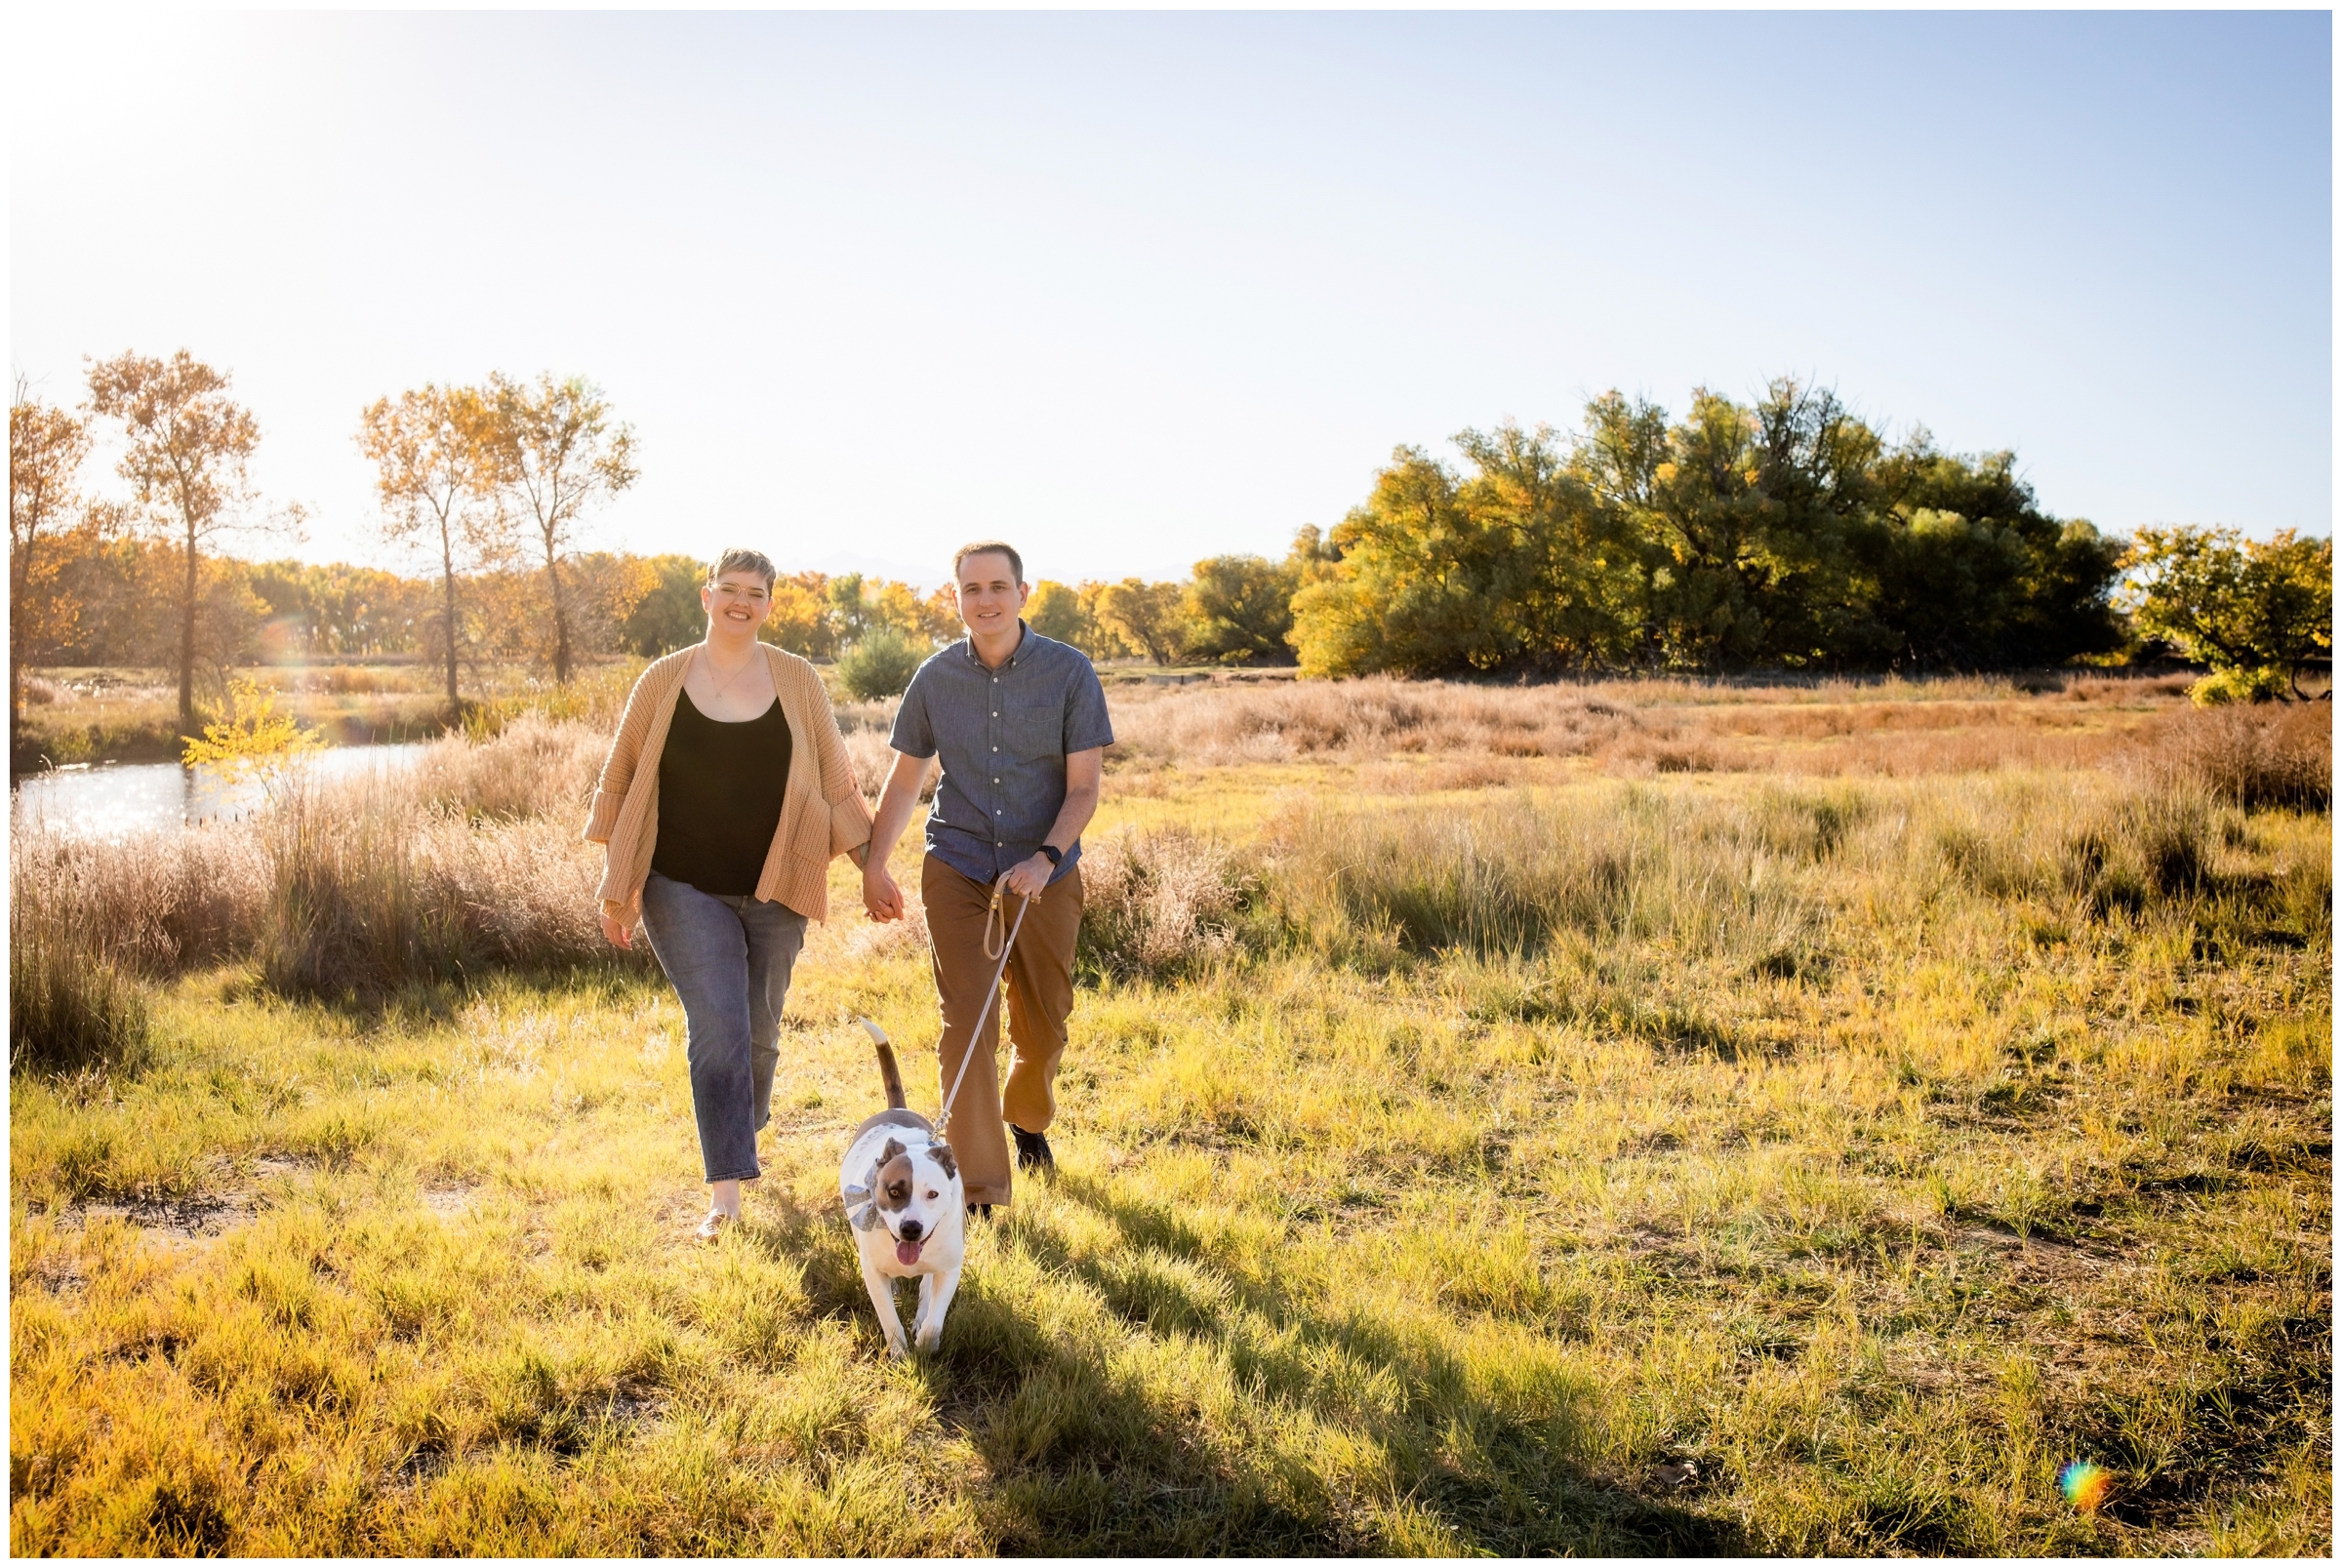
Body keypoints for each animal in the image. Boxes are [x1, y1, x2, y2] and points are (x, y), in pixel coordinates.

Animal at [838, 1025, 964, 1357]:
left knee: (926, 1289)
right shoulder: (872, 1273)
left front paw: (926, 1343)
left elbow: (935, 1317)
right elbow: (889, 1319)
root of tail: (896, 1109)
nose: (910, 1228)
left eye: (932, 1194)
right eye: (894, 1192)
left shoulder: (949, 1269)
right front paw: (899, 1355)